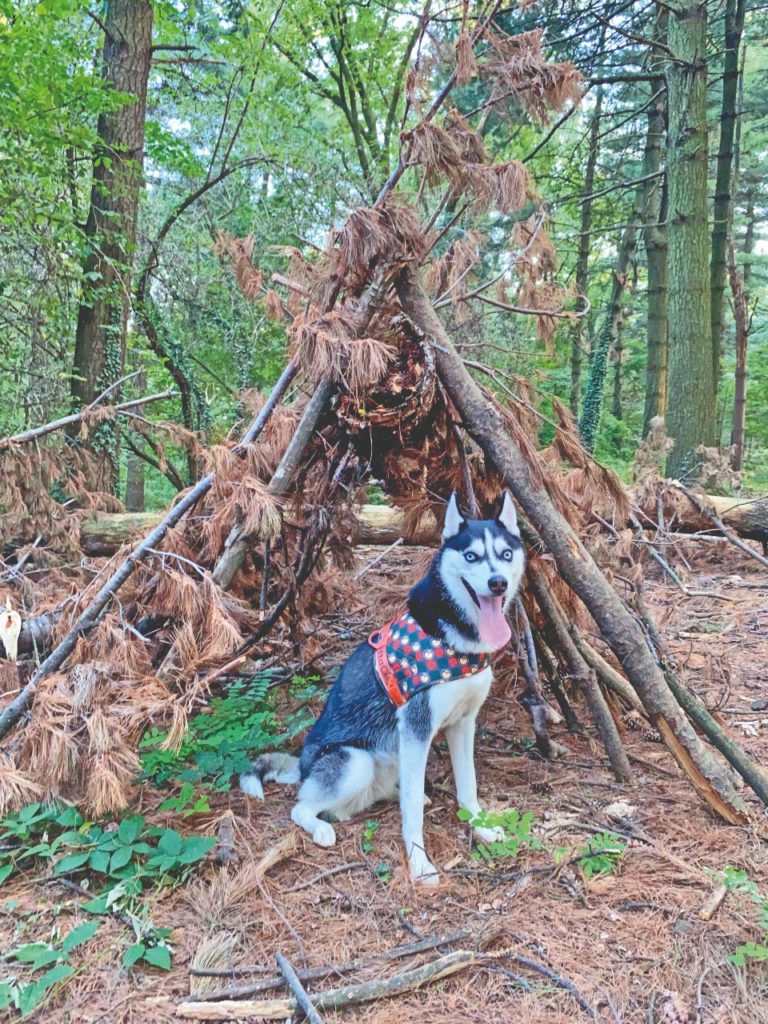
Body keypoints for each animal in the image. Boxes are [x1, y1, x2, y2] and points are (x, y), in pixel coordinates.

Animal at [243, 491, 528, 884]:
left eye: (505, 554)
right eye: (471, 556)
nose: (498, 582)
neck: (454, 636)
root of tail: (302, 765)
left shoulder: (463, 724)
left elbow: (468, 789)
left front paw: (481, 828)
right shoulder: (416, 729)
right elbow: (413, 816)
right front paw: (419, 863)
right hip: (355, 762)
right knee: (301, 807)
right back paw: (321, 828)